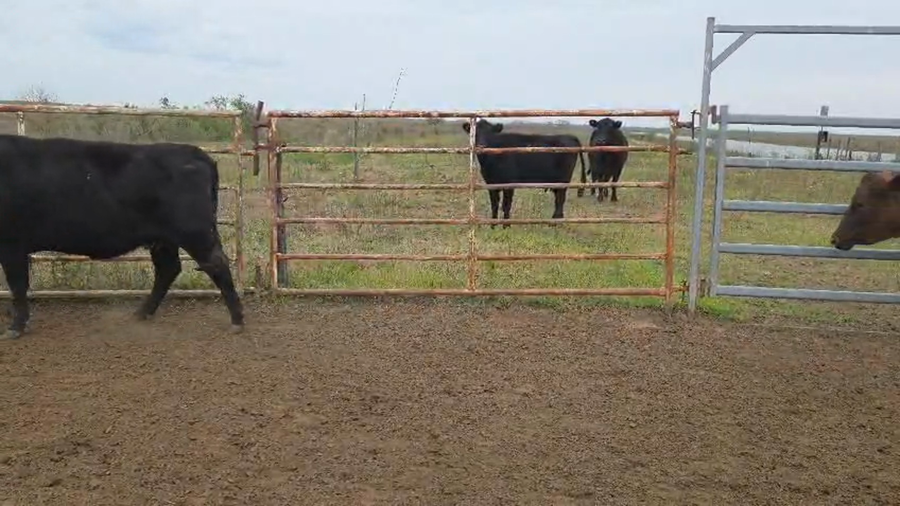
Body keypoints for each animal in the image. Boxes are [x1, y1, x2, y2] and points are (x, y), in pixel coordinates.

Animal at [0, 134, 244, 340]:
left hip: (195, 232)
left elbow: (18, 285)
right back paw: (142, 312)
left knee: (216, 264)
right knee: (169, 268)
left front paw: (15, 327)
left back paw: (237, 320)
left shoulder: (11, 244)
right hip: (164, 239)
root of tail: (195, 152)